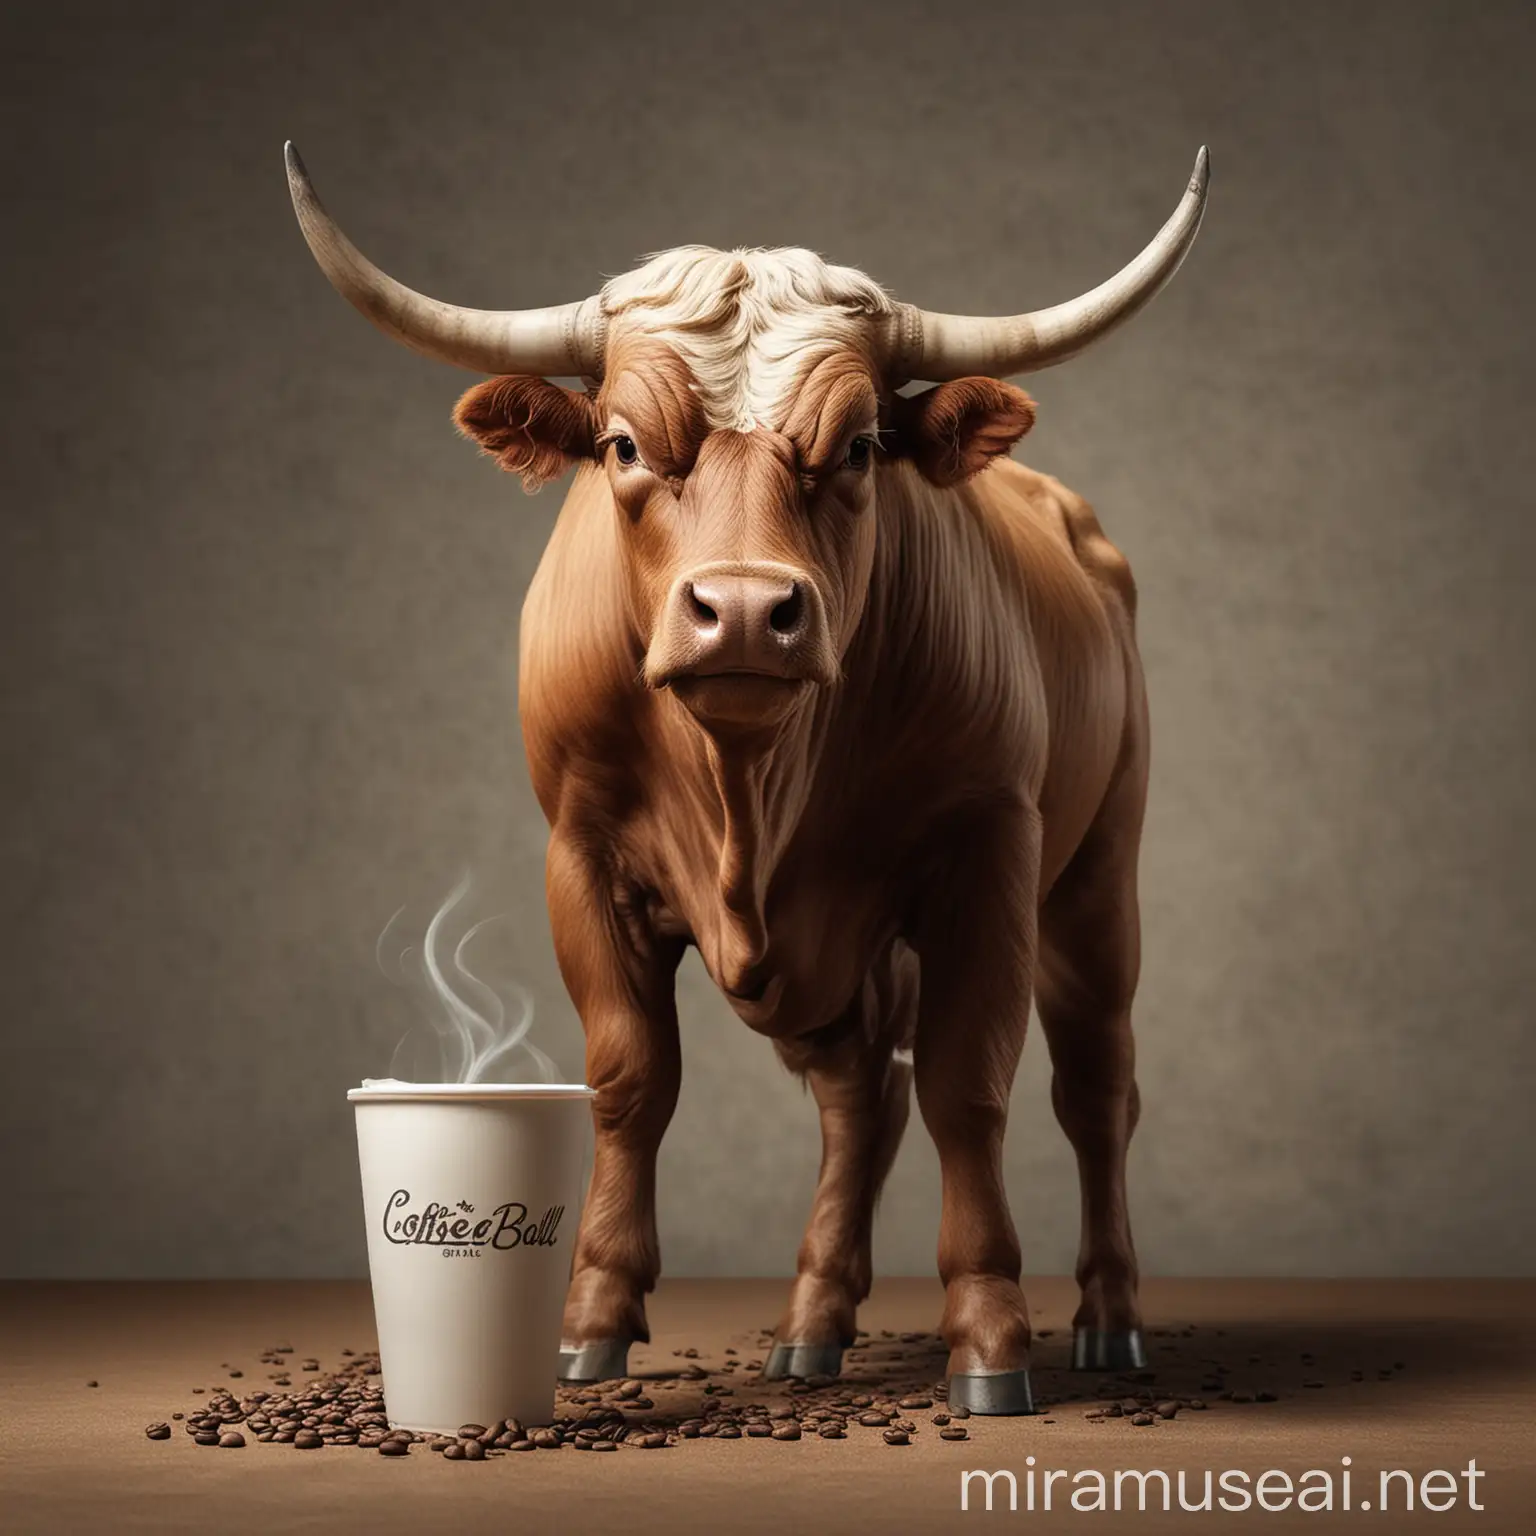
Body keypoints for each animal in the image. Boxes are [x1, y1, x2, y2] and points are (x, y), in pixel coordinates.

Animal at [282, 146, 1204, 1413]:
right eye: (624, 445)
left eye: (858, 448)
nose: (747, 611)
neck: (750, 791)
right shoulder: (581, 857)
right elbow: (631, 1079)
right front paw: (591, 1320)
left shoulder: (989, 853)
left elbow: (970, 1083)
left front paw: (989, 1334)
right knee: (860, 1099)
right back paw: (811, 1324)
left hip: (1096, 877)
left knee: (1095, 1085)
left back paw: (1110, 1318)